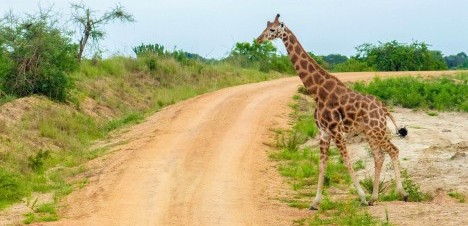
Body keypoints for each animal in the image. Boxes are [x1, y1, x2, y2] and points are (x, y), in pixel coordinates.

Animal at [258, 15, 408, 210]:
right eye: (266, 27)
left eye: (272, 29)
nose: (258, 39)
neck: (317, 92)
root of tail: (384, 108)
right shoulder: (323, 132)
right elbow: (322, 164)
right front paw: (315, 203)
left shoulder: (336, 130)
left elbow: (346, 161)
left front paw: (361, 198)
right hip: (369, 132)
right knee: (379, 156)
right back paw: (374, 198)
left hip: (377, 130)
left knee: (394, 150)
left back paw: (402, 194)